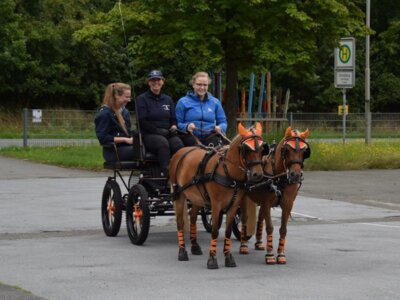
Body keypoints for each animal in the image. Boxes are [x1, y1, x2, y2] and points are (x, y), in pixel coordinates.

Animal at [170, 122, 266, 270]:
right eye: (247, 149)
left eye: (262, 148)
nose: (258, 175)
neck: (227, 172)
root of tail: (180, 152)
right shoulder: (216, 205)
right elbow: (215, 231)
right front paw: (212, 259)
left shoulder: (234, 205)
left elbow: (227, 231)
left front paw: (228, 257)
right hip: (179, 195)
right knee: (180, 222)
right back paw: (182, 251)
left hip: (197, 198)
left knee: (193, 218)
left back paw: (194, 246)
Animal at [239, 126, 310, 264]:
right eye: (287, 150)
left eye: (305, 151)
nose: (295, 175)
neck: (279, 177)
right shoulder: (267, 202)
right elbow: (270, 227)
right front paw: (270, 254)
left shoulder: (288, 203)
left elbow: (283, 229)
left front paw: (281, 254)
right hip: (244, 198)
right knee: (244, 219)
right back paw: (243, 245)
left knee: (260, 218)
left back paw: (259, 243)